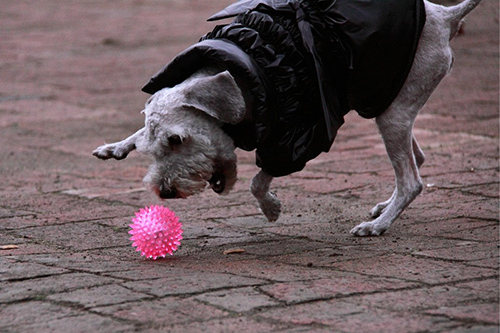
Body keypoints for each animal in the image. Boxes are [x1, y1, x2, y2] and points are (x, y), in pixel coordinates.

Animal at [93, 0, 480, 235]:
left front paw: (271, 208)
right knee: (417, 160)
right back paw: (384, 207)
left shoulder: (303, 135)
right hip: (385, 103)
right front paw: (117, 146)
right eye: (153, 151)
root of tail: (446, 18)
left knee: (411, 179)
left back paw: (380, 224)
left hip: (394, 112)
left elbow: (258, 179)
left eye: (176, 140)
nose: (166, 192)